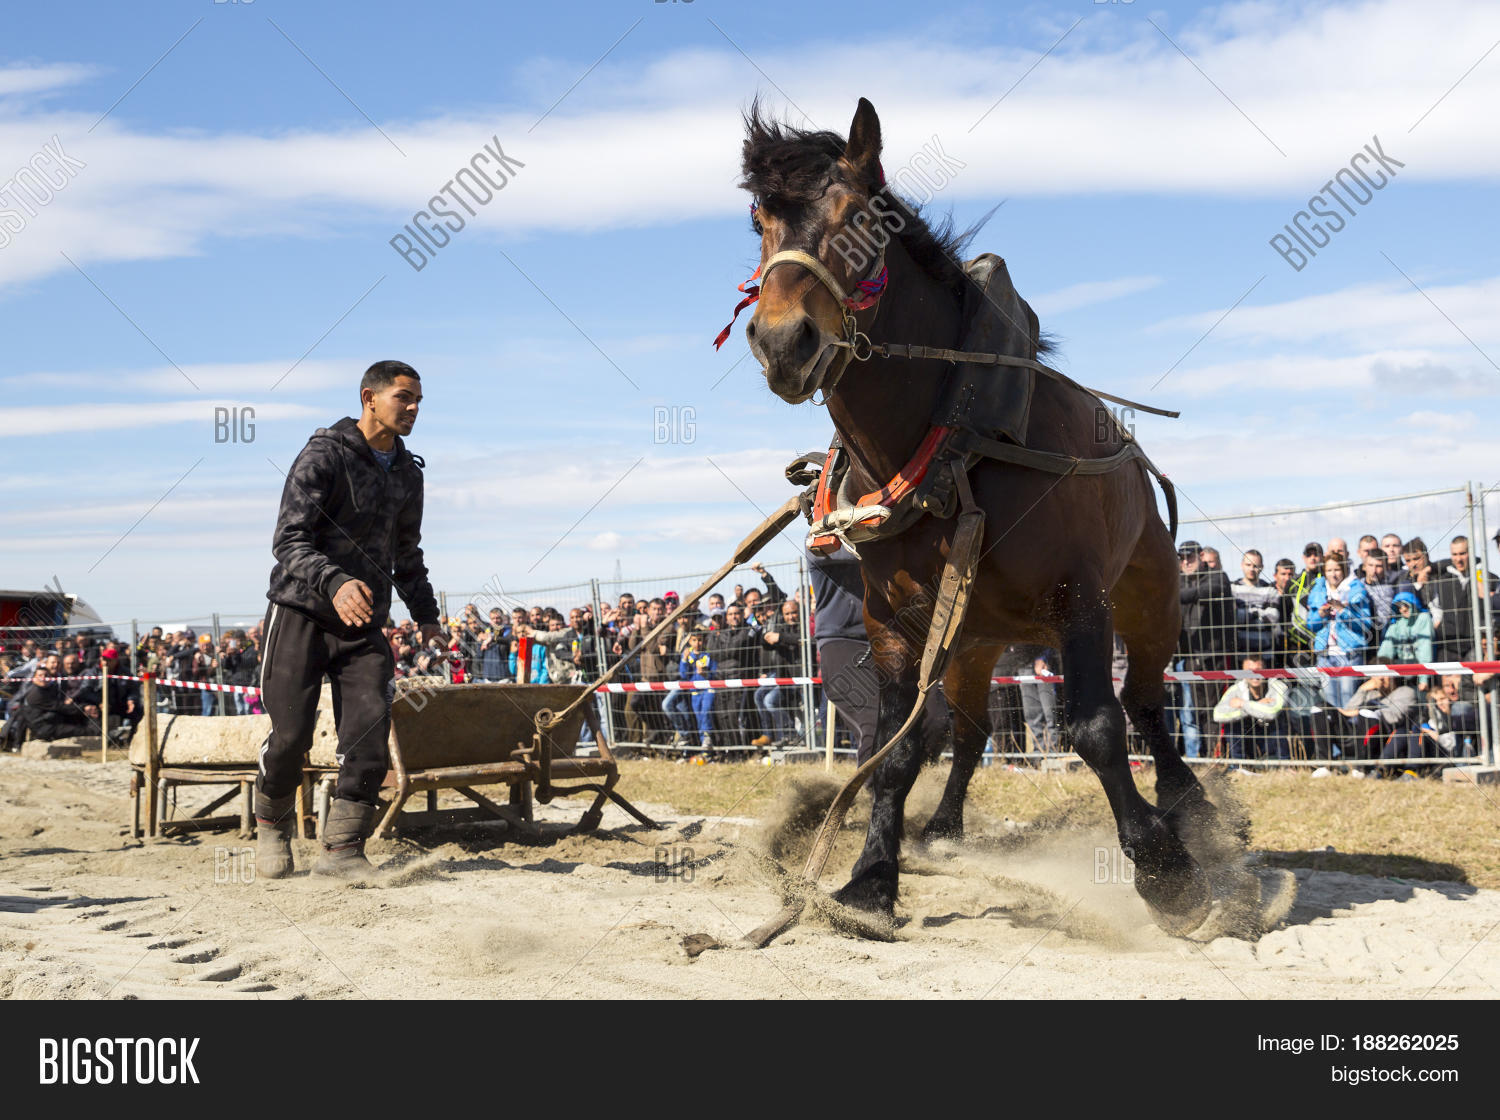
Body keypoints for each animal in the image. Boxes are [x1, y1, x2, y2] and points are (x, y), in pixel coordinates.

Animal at [733, 98, 1234, 935]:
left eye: (860, 215)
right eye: (759, 218)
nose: (783, 342)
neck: (957, 438)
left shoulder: (1079, 599)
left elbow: (1097, 729)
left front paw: (1165, 872)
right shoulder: (895, 621)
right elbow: (895, 750)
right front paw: (871, 877)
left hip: (1149, 599)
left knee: (1144, 702)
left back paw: (1184, 802)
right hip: (973, 642)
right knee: (968, 732)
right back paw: (943, 827)